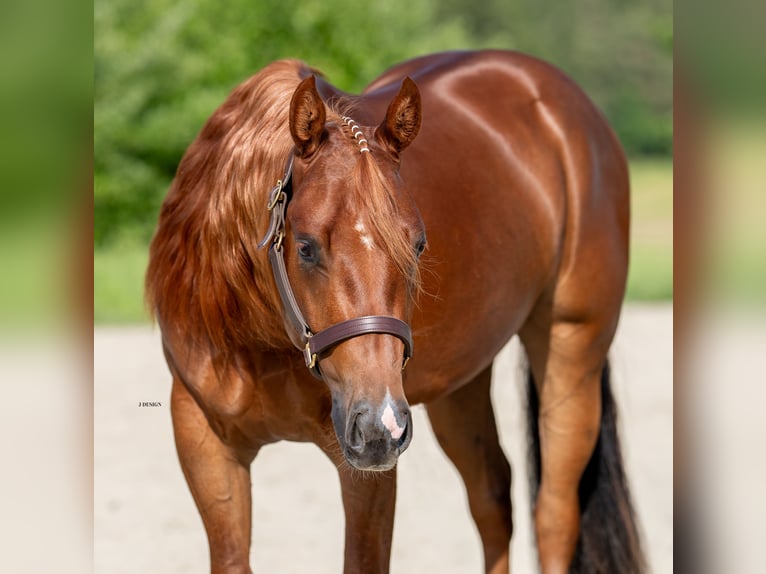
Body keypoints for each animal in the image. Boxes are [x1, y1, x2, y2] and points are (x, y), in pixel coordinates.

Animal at [146, 50, 643, 574]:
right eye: (305, 247)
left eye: (419, 245)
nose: (381, 423)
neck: (260, 337)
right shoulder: (205, 444)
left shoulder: (366, 467)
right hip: (460, 383)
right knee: (493, 497)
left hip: (571, 353)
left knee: (553, 513)